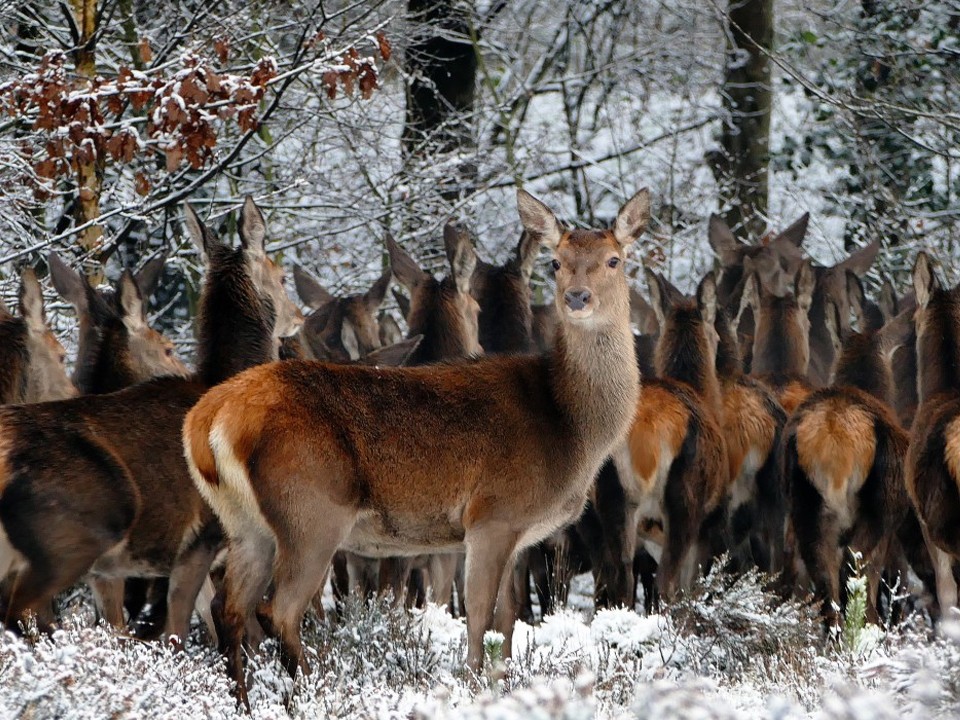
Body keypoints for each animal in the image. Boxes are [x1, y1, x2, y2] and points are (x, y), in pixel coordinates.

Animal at [0, 195, 302, 640]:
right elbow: (182, 633)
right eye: (281, 277)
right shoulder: (200, 540)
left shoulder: (112, 572)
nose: (299, 316)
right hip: (75, 531)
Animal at [184, 184, 648, 704]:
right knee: (276, 610)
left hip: (246, 524)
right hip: (311, 508)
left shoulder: (517, 532)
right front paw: (474, 687)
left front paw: (505, 686)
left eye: (614, 259)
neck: (570, 426)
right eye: (556, 261)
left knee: (229, 608)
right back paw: (316, 691)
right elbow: (478, 617)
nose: (577, 297)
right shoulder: (492, 514)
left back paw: (244, 700)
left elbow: (507, 622)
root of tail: (208, 417)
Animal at [788, 276, 916, 632]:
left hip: (804, 508)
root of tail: (835, 441)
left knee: (826, 587)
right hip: (871, 513)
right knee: (856, 579)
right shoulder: (891, 527)